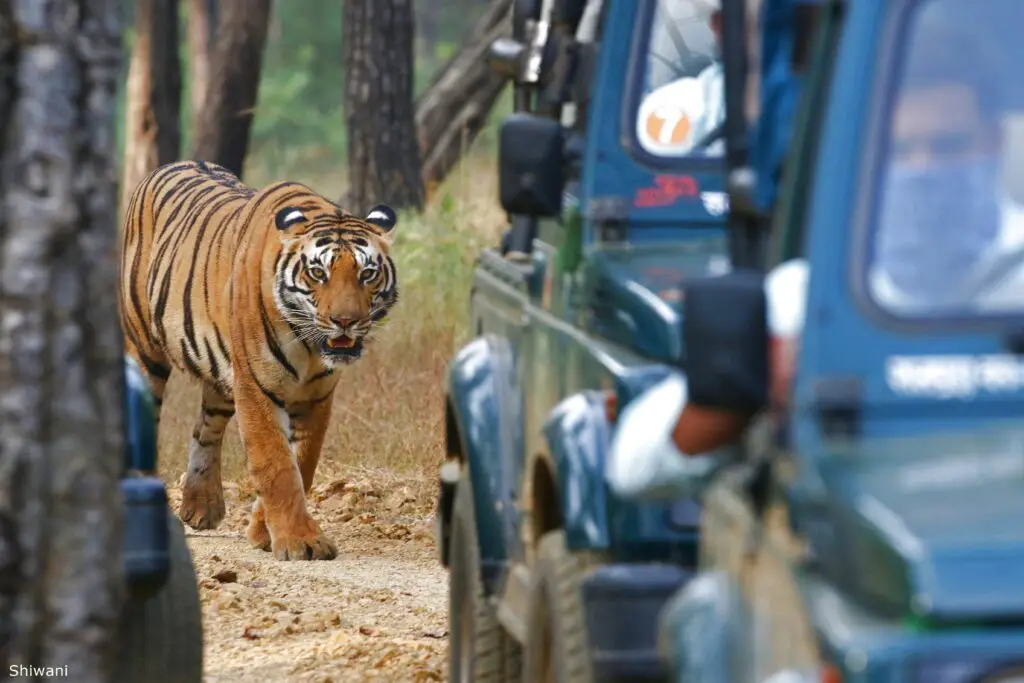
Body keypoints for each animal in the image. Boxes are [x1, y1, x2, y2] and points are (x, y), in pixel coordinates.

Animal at [118, 160, 399, 561]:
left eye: (367, 274)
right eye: (318, 273)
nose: (345, 321)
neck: (308, 344)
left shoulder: (315, 396)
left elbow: (302, 461)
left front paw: (263, 531)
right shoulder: (256, 386)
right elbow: (276, 463)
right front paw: (300, 541)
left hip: (220, 373)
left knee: (205, 428)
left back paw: (201, 506)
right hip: (146, 351)